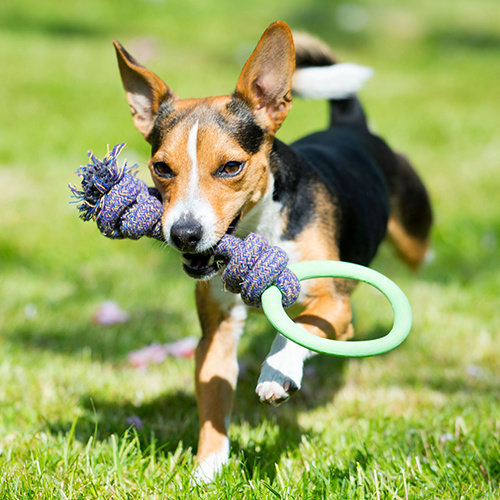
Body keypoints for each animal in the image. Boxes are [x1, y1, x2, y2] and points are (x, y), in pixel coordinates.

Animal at [111, 21, 432, 482]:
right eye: (161, 167)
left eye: (231, 167)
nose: (184, 233)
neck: (258, 231)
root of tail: (350, 125)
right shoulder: (218, 330)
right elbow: (213, 399)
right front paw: (207, 469)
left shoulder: (335, 307)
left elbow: (299, 328)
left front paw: (277, 374)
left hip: (413, 238)